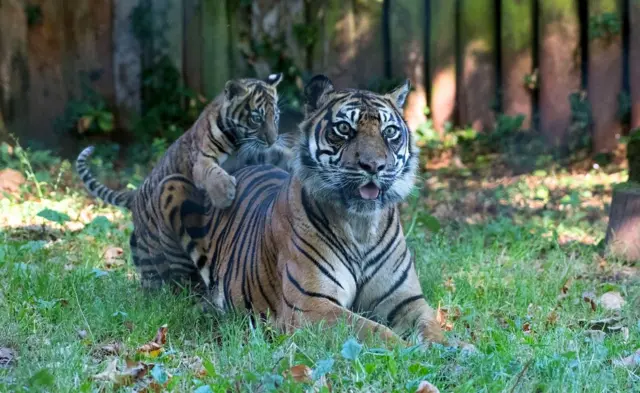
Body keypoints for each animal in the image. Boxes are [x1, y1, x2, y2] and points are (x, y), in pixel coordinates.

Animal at [156, 75, 444, 344]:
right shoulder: (311, 306)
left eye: (390, 131)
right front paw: (409, 350)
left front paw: (449, 350)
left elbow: (434, 328)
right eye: (343, 128)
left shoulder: (406, 300)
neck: (361, 226)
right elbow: (374, 332)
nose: (373, 166)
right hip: (173, 185)